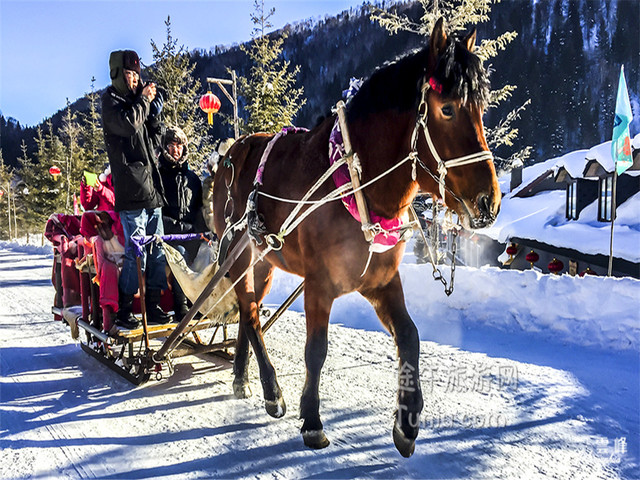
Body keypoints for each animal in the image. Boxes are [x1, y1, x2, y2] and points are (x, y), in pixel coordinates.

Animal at [211, 19, 500, 458]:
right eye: (447, 109)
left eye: (481, 110)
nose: (489, 201)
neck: (357, 186)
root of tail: (231, 151)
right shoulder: (319, 284)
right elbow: (316, 351)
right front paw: (312, 420)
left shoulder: (381, 281)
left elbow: (410, 338)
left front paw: (407, 421)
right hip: (239, 254)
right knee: (251, 310)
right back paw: (272, 390)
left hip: (263, 261)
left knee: (249, 310)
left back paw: (243, 377)